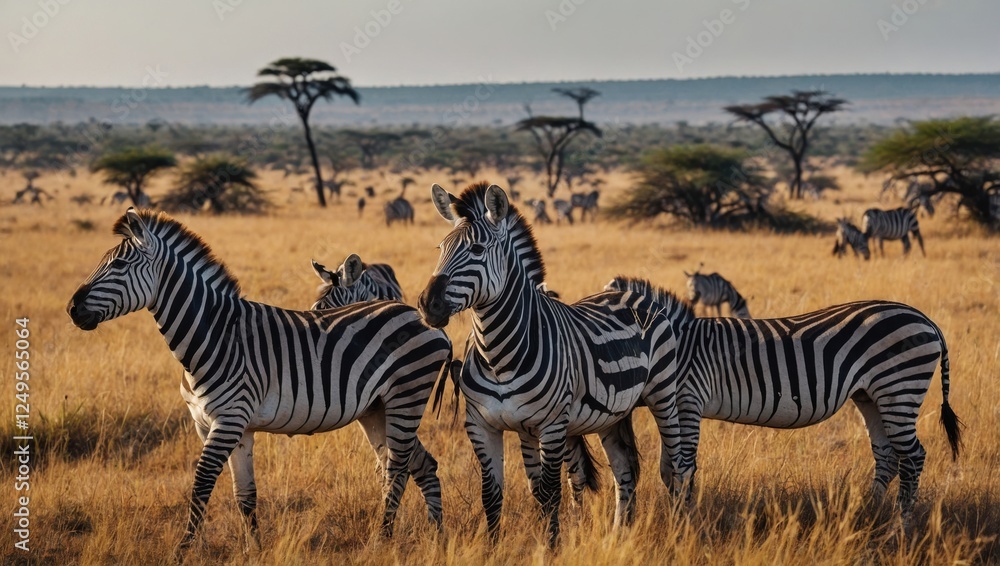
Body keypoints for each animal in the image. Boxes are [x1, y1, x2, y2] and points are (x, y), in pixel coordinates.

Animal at [67, 208, 452, 555]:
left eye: (118, 266)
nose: (72, 308)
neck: (215, 334)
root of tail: (424, 319)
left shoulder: (228, 420)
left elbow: (201, 484)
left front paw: (182, 551)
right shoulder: (222, 426)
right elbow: (245, 495)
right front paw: (255, 550)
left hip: (406, 396)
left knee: (398, 469)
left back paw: (381, 542)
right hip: (377, 409)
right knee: (417, 465)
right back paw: (436, 537)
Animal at [418, 182, 685, 545]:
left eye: (477, 249)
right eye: (440, 248)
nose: (427, 304)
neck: (498, 358)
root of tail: (632, 293)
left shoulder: (552, 425)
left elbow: (549, 492)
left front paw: (551, 547)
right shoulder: (485, 425)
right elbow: (496, 493)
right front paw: (493, 547)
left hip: (663, 395)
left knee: (675, 467)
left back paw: (680, 528)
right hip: (613, 415)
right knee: (625, 470)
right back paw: (618, 536)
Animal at [605, 276, 962, 527]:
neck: (676, 346)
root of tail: (926, 320)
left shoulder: (688, 400)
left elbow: (683, 467)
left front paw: (684, 523)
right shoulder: (677, 407)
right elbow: (668, 469)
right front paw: (679, 518)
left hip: (899, 387)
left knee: (913, 457)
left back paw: (900, 527)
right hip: (871, 396)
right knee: (887, 456)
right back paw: (869, 516)